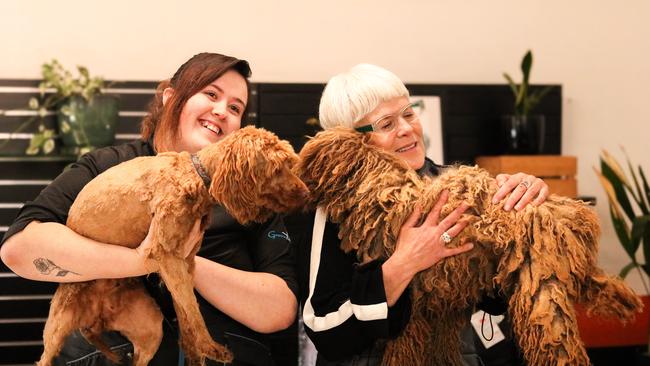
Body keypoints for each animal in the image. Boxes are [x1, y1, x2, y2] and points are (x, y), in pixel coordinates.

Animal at [39, 126, 308, 366]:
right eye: (278, 167)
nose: (307, 194)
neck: (196, 175)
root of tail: (97, 318)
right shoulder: (167, 255)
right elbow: (194, 311)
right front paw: (211, 348)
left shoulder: (185, 263)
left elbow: (185, 313)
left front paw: (194, 354)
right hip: (57, 327)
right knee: (44, 359)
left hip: (150, 328)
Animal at [296, 128, 640, 366]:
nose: (297, 179)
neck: (385, 190)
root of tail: (571, 213)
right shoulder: (438, 306)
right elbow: (437, 348)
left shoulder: (417, 303)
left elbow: (403, 353)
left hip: (543, 294)